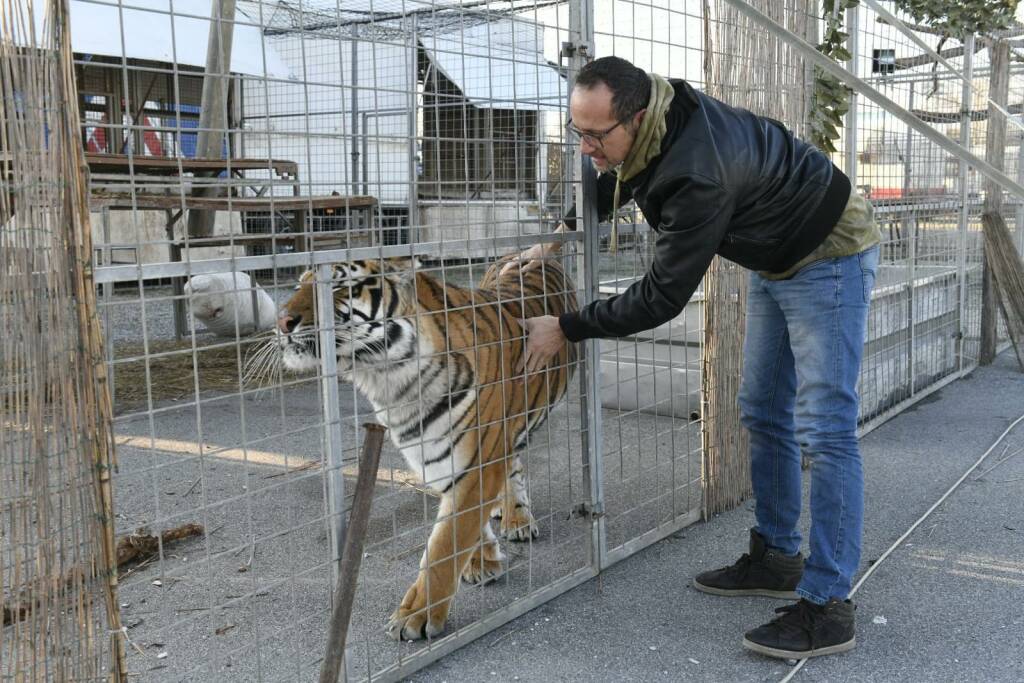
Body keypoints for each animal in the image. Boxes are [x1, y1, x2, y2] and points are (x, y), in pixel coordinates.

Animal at [256, 250, 577, 643]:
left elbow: (444, 545)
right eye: (298, 285)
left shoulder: (477, 459)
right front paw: (482, 561)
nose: (282, 321)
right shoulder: (439, 453)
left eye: (338, 286)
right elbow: (461, 527)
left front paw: (416, 616)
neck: (390, 382)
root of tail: (531, 252)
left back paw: (518, 518)